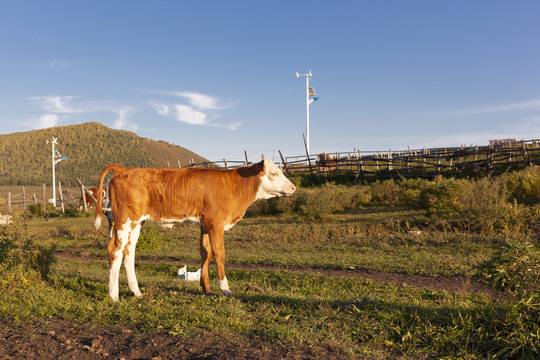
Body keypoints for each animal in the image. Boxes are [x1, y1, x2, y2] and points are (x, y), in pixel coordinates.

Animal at [94, 158, 296, 300]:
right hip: (124, 220)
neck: (233, 186)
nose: (293, 187)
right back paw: (114, 296)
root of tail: (124, 170)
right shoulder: (216, 223)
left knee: (128, 252)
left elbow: (205, 252)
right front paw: (225, 288)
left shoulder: (205, 224)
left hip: (136, 222)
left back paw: (136, 292)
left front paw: (206, 288)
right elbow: (219, 254)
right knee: (115, 251)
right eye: (274, 173)